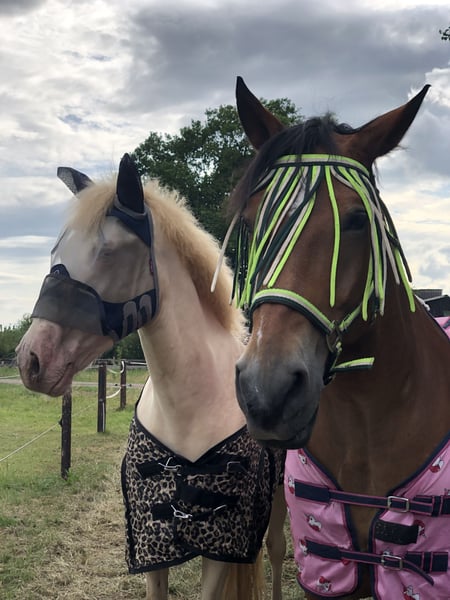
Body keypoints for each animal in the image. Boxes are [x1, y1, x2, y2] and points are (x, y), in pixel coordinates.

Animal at [16, 153, 286, 600]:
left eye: (108, 252)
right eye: (56, 249)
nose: (31, 360)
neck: (187, 409)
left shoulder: (220, 547)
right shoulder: (152, 548)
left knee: (277, 549)